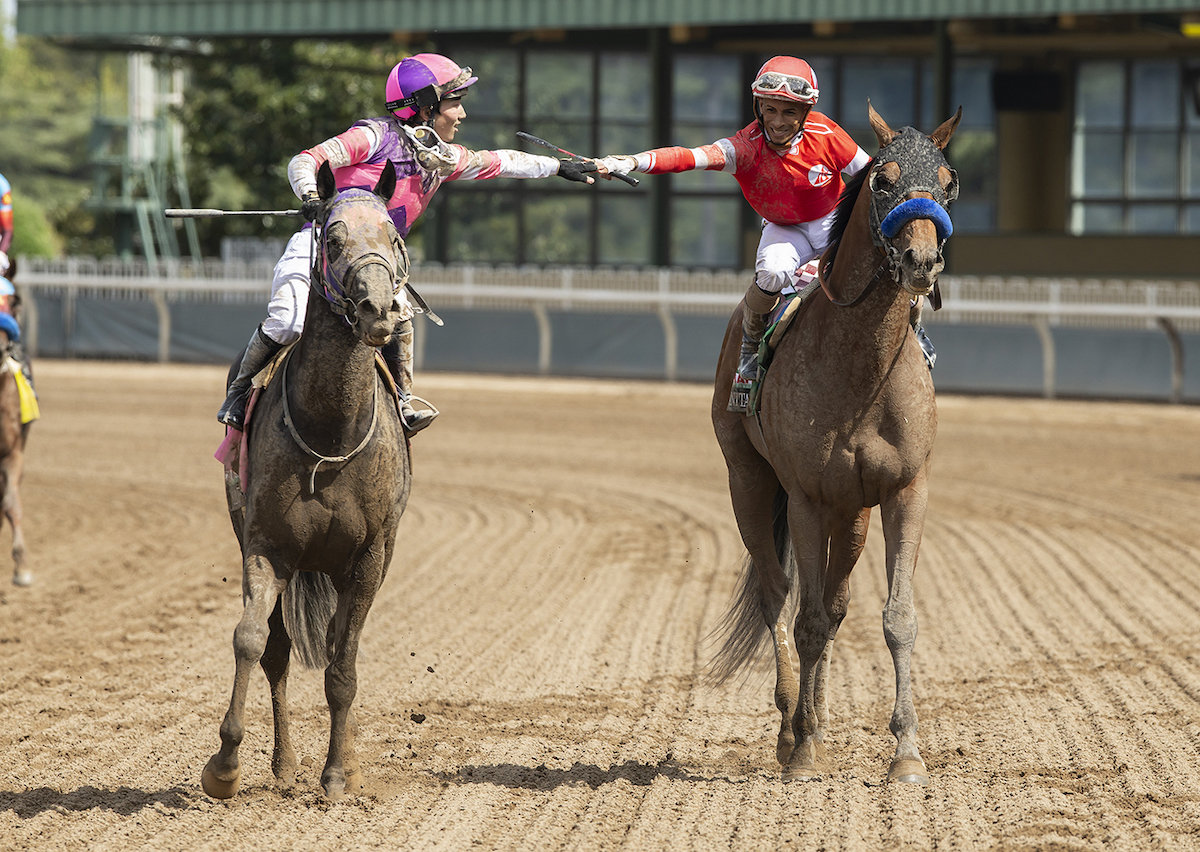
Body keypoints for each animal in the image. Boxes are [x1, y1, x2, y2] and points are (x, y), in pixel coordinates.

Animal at [201, 163, 412, 806]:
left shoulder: (370, 557)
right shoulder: (267, 546)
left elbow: (343, 665)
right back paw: (285, 762)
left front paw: (340, 774)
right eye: (334, 238)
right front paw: (225, 765)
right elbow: (251, 640)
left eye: (394, 239)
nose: (377, 309)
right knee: (277, 650)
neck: (330, 432)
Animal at [705, 105, 960, 787]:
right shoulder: (805, 497)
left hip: (853, 514)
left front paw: (906, 752)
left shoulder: (906, 491)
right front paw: (802, 753)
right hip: (749, 480)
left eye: (948, 183)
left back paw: (815, 718)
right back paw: (790, 725)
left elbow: (896, 618)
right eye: (883, 181)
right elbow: (807, 617)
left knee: (838, 604)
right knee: (777, 595)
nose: (920, 259)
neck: (861, 369)